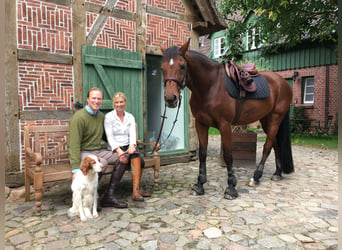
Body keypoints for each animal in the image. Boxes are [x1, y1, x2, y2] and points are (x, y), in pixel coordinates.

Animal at [160, 39, 294, 199]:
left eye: (182, 66)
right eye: (162, 68)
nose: (170, 99)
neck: (210, 86)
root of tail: (283, 82)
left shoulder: (225, 126)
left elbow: (229, 155)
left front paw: (231, 187)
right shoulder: (201, 124)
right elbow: (202, 154)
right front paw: (199, 184)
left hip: (275, 119)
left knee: (267, 146)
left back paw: (256, 176)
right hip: (266, 120)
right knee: (275, 144)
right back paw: (277, 173)